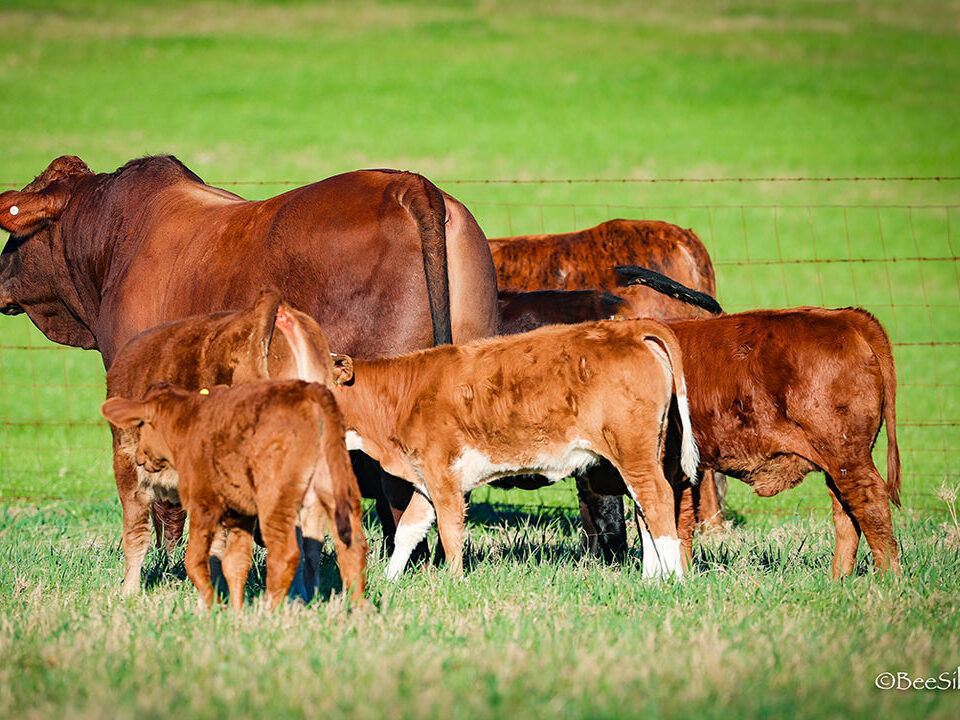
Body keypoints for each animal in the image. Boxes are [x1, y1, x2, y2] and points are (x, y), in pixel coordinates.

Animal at [99, 376, 366, 612]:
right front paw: (235, 613)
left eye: (141, 424)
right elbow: (235, 562)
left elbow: (195, 560)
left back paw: (271, 611)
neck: (190, 424)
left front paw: (213, 606)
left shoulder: (203, 504)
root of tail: (308, 390)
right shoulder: (240, 513)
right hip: (340, 489)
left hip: (275, 500)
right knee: (352, 546)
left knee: (286, 553)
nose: (139, 457)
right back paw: (359, 612)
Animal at [274, 306, 700, 584]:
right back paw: (651, 578)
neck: (401, 398)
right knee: (644, 508)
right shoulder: (425, 479)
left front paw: (453, 582)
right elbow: (409, 529)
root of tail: (629, 329)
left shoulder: (444, 477)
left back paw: (673, 579)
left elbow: (450, 532)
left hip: (632, 451)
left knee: (657, 499)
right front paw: (390, 581)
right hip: (642, 451)